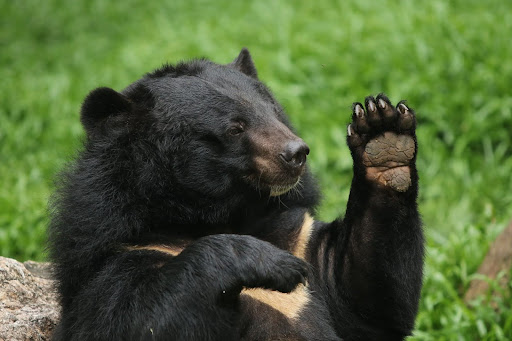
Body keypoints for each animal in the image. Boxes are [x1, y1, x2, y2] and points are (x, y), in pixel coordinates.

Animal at [48, 48, 424, 340]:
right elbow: (138, 320)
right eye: (235, 127)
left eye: (273, 111)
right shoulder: (119, 257)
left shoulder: (297, 236)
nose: (296, 153)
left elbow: (366, 296)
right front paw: (274, 263)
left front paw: (383, 136)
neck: (219, 214)